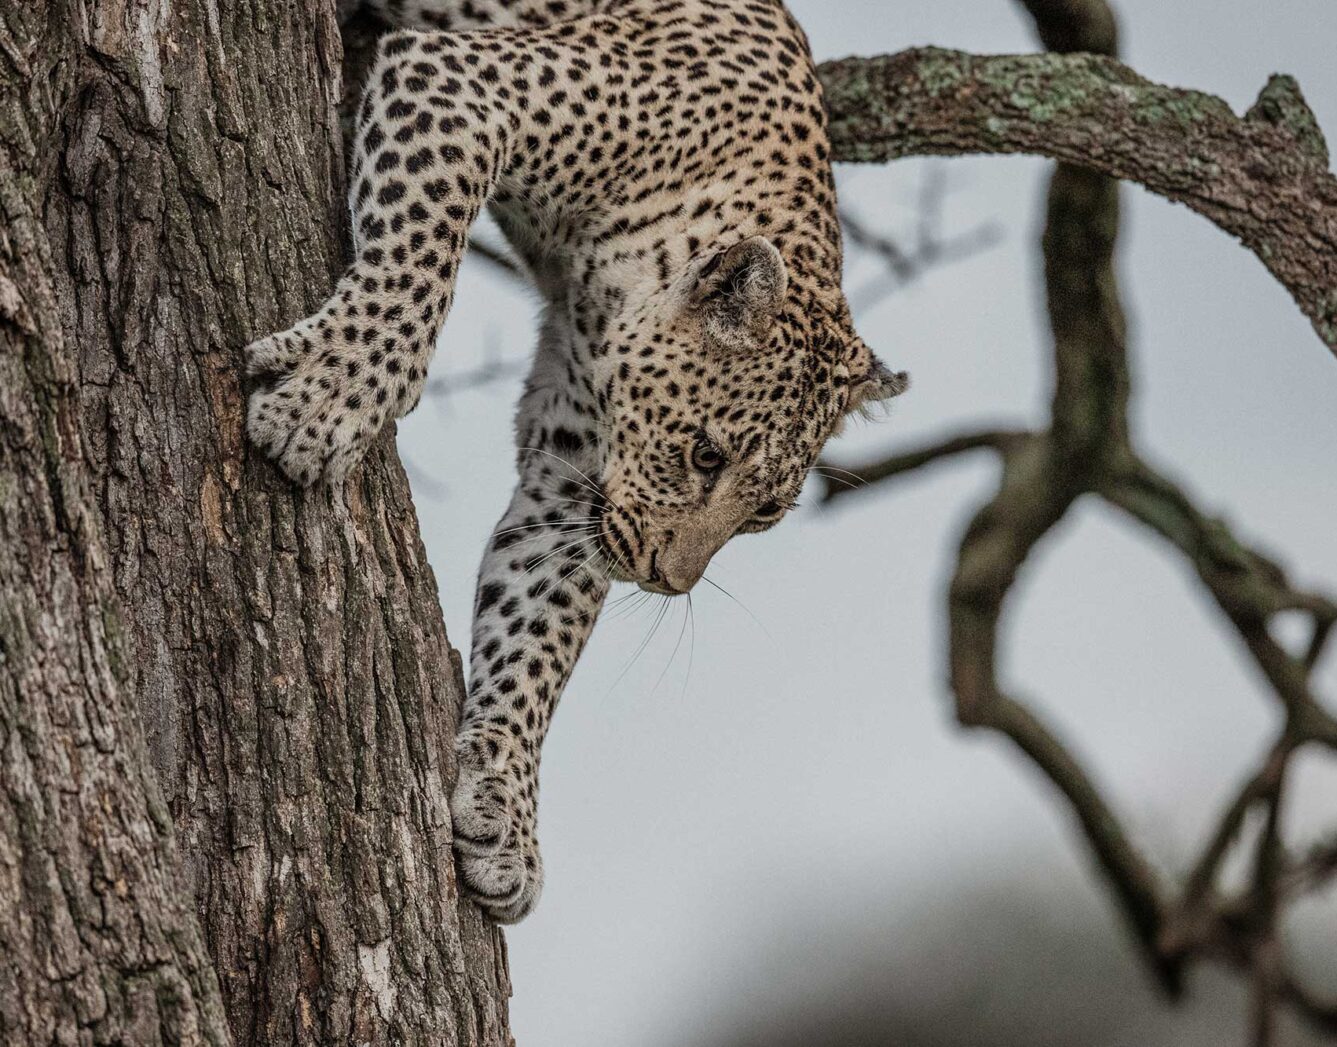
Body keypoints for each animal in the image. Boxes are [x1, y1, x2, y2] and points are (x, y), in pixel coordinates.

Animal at [244, 0, 903, 925]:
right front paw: (332, 395)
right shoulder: (459, 85)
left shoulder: (577, 476)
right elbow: (420, 260)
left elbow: (537, 631)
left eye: (766, 513)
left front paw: (505, 812)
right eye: (705, 453)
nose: (666, 579)